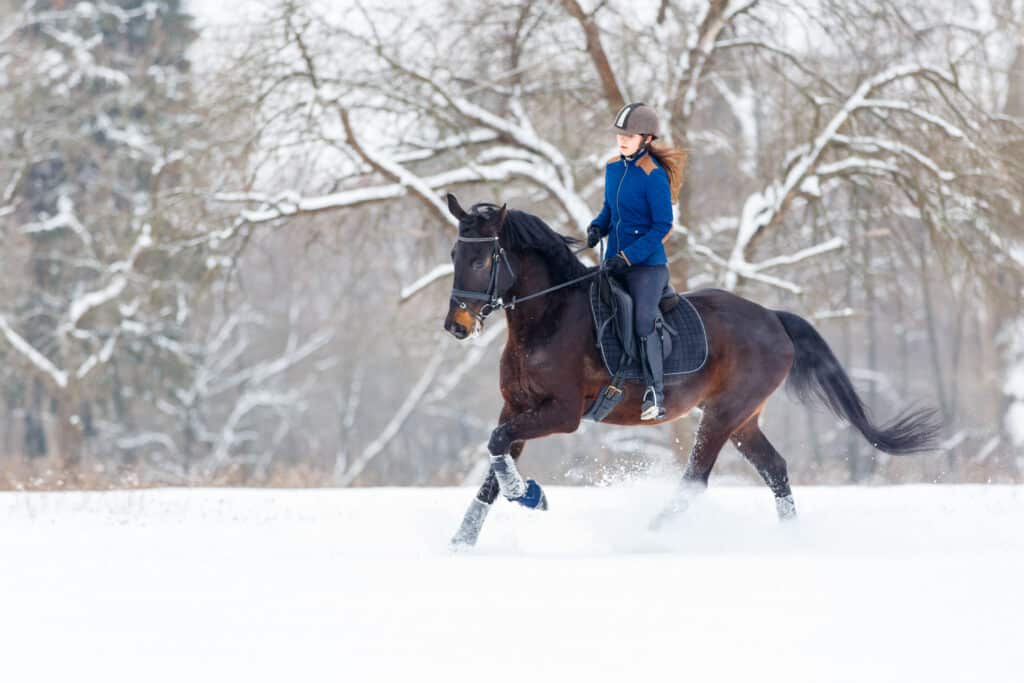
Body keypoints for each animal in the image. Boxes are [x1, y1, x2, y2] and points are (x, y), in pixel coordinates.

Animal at [442, 193, 941, 547]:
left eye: (482, 259)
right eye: (453, 255)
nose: (456, 326)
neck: (549, 317)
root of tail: (773, 318)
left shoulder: (561, 414)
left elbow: (497, 447)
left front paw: (530, 494)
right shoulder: (516, 408)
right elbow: (493, 462)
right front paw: (463, 540)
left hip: (723, 413)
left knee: (696, 479)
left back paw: (648, 536)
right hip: (742, 419)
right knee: (775, 469)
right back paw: (789, 539)